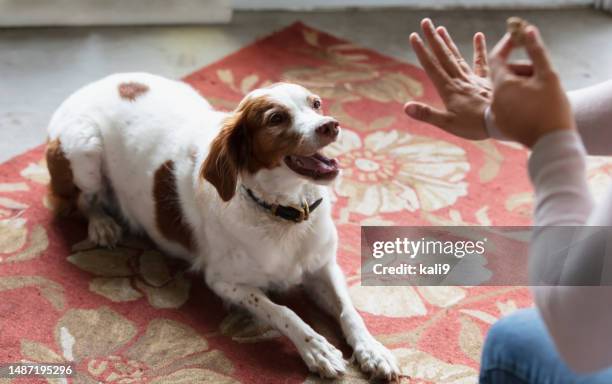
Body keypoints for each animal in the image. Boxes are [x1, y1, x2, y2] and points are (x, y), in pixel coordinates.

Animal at [49, 73, 402, 380]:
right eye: (276, 118)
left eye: (316, 103)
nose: (330, 125)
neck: (284, 213)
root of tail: (87, 87)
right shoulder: (223, 282)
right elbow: (281, 311)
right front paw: (316, 348)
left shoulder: (322, 267)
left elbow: (348, 311)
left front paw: (373, 351)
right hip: (85, 149)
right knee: (82, 199)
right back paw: (102, 225)